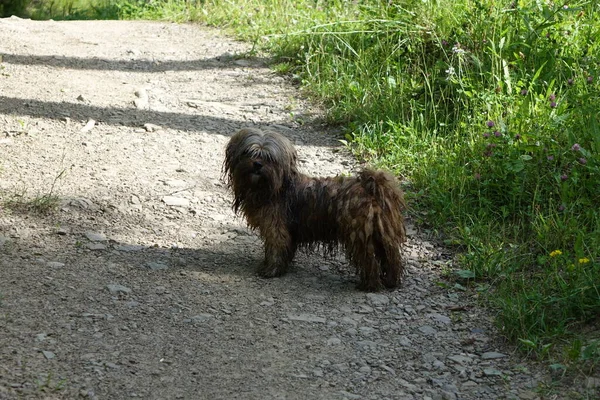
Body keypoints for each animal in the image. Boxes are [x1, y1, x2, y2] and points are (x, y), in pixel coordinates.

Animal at [225, 128, 408, 290]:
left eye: (269, 158)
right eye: (248, 152)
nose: (257, 164)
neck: (274, 187)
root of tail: (371, 188)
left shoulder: (276, 229)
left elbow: (276, 249)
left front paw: (271, 270)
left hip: (359, 235)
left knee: (368, 261)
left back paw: (369, 285)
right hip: (383, 234)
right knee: (391, 258)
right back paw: (390, 282)